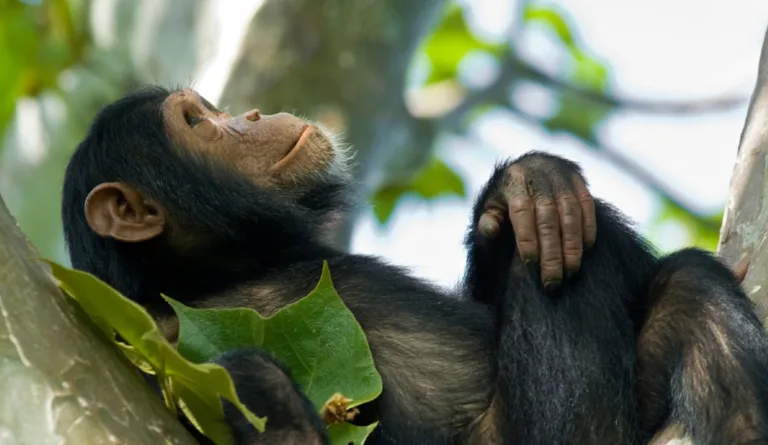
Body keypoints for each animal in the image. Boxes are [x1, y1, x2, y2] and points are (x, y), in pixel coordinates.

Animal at [61, 85, 768, 444]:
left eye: (211, 109)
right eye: (193, 121)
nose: (250, 114)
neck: (226, 268)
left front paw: (528, 185)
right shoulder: (155, 345)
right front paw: (277, 413)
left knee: (685, 289)